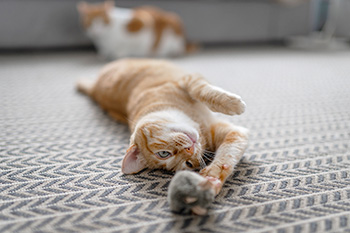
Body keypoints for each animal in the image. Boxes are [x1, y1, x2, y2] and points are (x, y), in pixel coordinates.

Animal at [77, 59, 249, 215]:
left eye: (163, 153)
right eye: (188, 164)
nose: (189, 151)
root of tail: (94, 89)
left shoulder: (187, 80)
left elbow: (202, 91)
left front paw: (234, 104)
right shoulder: (235, 133)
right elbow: (227, 156)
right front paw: (212, 179)